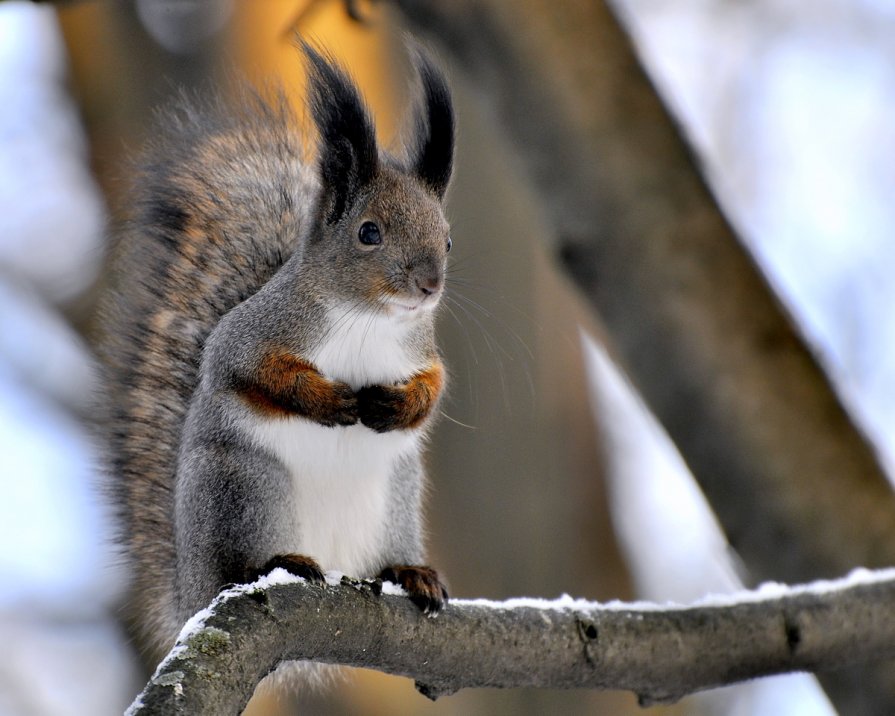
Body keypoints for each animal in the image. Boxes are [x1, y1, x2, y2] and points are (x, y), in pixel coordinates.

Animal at [98, 43, 456, 664]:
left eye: (449, 238)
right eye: (368, 233)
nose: (428, 286)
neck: (370, 320)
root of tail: (190, 592)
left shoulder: (422, 351)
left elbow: (432, 388)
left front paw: (399, 406)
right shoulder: (249, 336)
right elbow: (252, 372)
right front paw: (326, 400)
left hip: (395, 500)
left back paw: (408, 572)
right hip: (246, 488)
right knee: (241, 566)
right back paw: (276, 563)